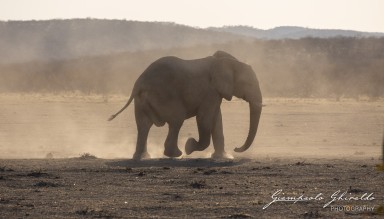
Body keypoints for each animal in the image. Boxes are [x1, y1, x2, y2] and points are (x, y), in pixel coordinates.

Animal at [109, 51, 262, 159]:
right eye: (248, 84)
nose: (236, 148)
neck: (229, 62)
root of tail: (138, 83)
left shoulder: (215, 93)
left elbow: (217, 120)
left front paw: (223, 157)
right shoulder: (210, 91)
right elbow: (204, 118)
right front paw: (189, 146)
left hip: (141, 100)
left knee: (143, 125)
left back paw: (143, 157)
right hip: (165, 96)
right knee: (176, 121)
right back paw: (176, 154)